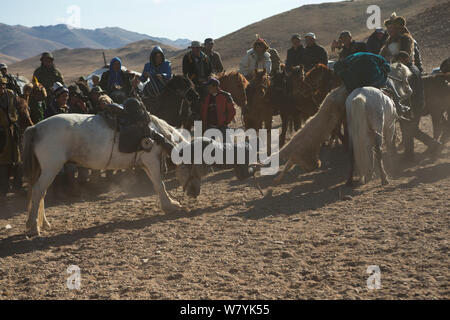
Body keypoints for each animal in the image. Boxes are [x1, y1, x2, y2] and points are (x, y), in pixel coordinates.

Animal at [20, 112, 204, 235]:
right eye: (193, 165)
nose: (195, 192)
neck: (154, 133)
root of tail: (35, 127)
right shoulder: (151, 161)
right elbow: (160, 184)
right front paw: (170, 206)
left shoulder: (146, 164)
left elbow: (157, 185)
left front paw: (171, 202)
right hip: (51, 168)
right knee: (38, 191)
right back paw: (34, 226)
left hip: (45, 170)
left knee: (41, 194)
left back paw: (43, 223)